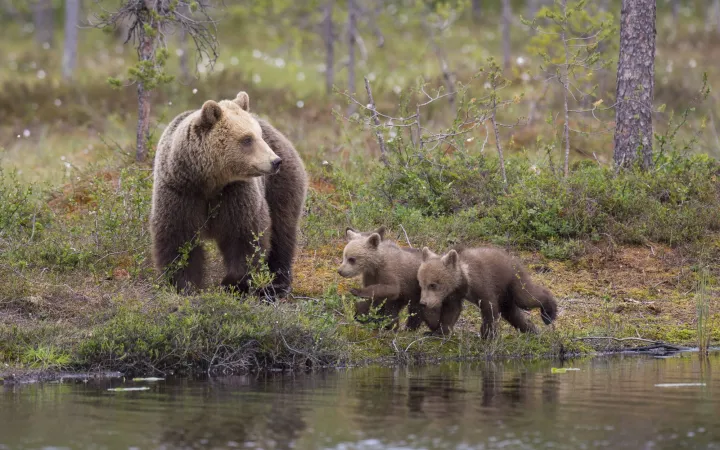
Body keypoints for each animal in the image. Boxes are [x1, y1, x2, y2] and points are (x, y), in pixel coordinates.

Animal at [150, 91, 308, 297]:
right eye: (247, 139)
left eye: (259, 135)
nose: (275, 161)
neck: (209, 181)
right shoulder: (180, 192)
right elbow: (178, 237)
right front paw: (184, 284)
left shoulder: (236, 193)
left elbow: (245, 234)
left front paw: (233, 284)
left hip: (281, 186)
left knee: (282, 230)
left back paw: (276, 285)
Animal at [417, 246, 557, 337]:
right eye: (421, 284)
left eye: (433, 285)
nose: (423, 303)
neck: (465, 280)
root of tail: (512, 257)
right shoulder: (455, 294)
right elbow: (451, 312)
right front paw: (437, 332)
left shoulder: (482, 283)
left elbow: (489, 308)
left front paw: (487, 333)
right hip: (505, 294)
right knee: (511, 312)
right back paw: (531, 329)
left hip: (512, 278)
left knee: (525, 297)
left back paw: (549, 314)